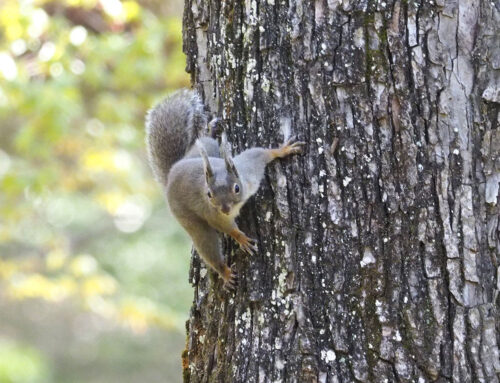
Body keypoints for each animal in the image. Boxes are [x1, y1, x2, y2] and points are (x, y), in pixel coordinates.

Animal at [145, 88, 304, 290]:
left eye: (236, 188)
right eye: (209, 194)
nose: (225, 209)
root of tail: (171, 176)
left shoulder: (249, 171)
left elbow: (260, 153)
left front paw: (282, 150)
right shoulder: (212, 213)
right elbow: (225, 226)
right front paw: (240, 237)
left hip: (206, 148)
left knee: (206, 141)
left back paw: (212, 130)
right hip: (187, 218)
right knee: (207, 245)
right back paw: (225, 272)